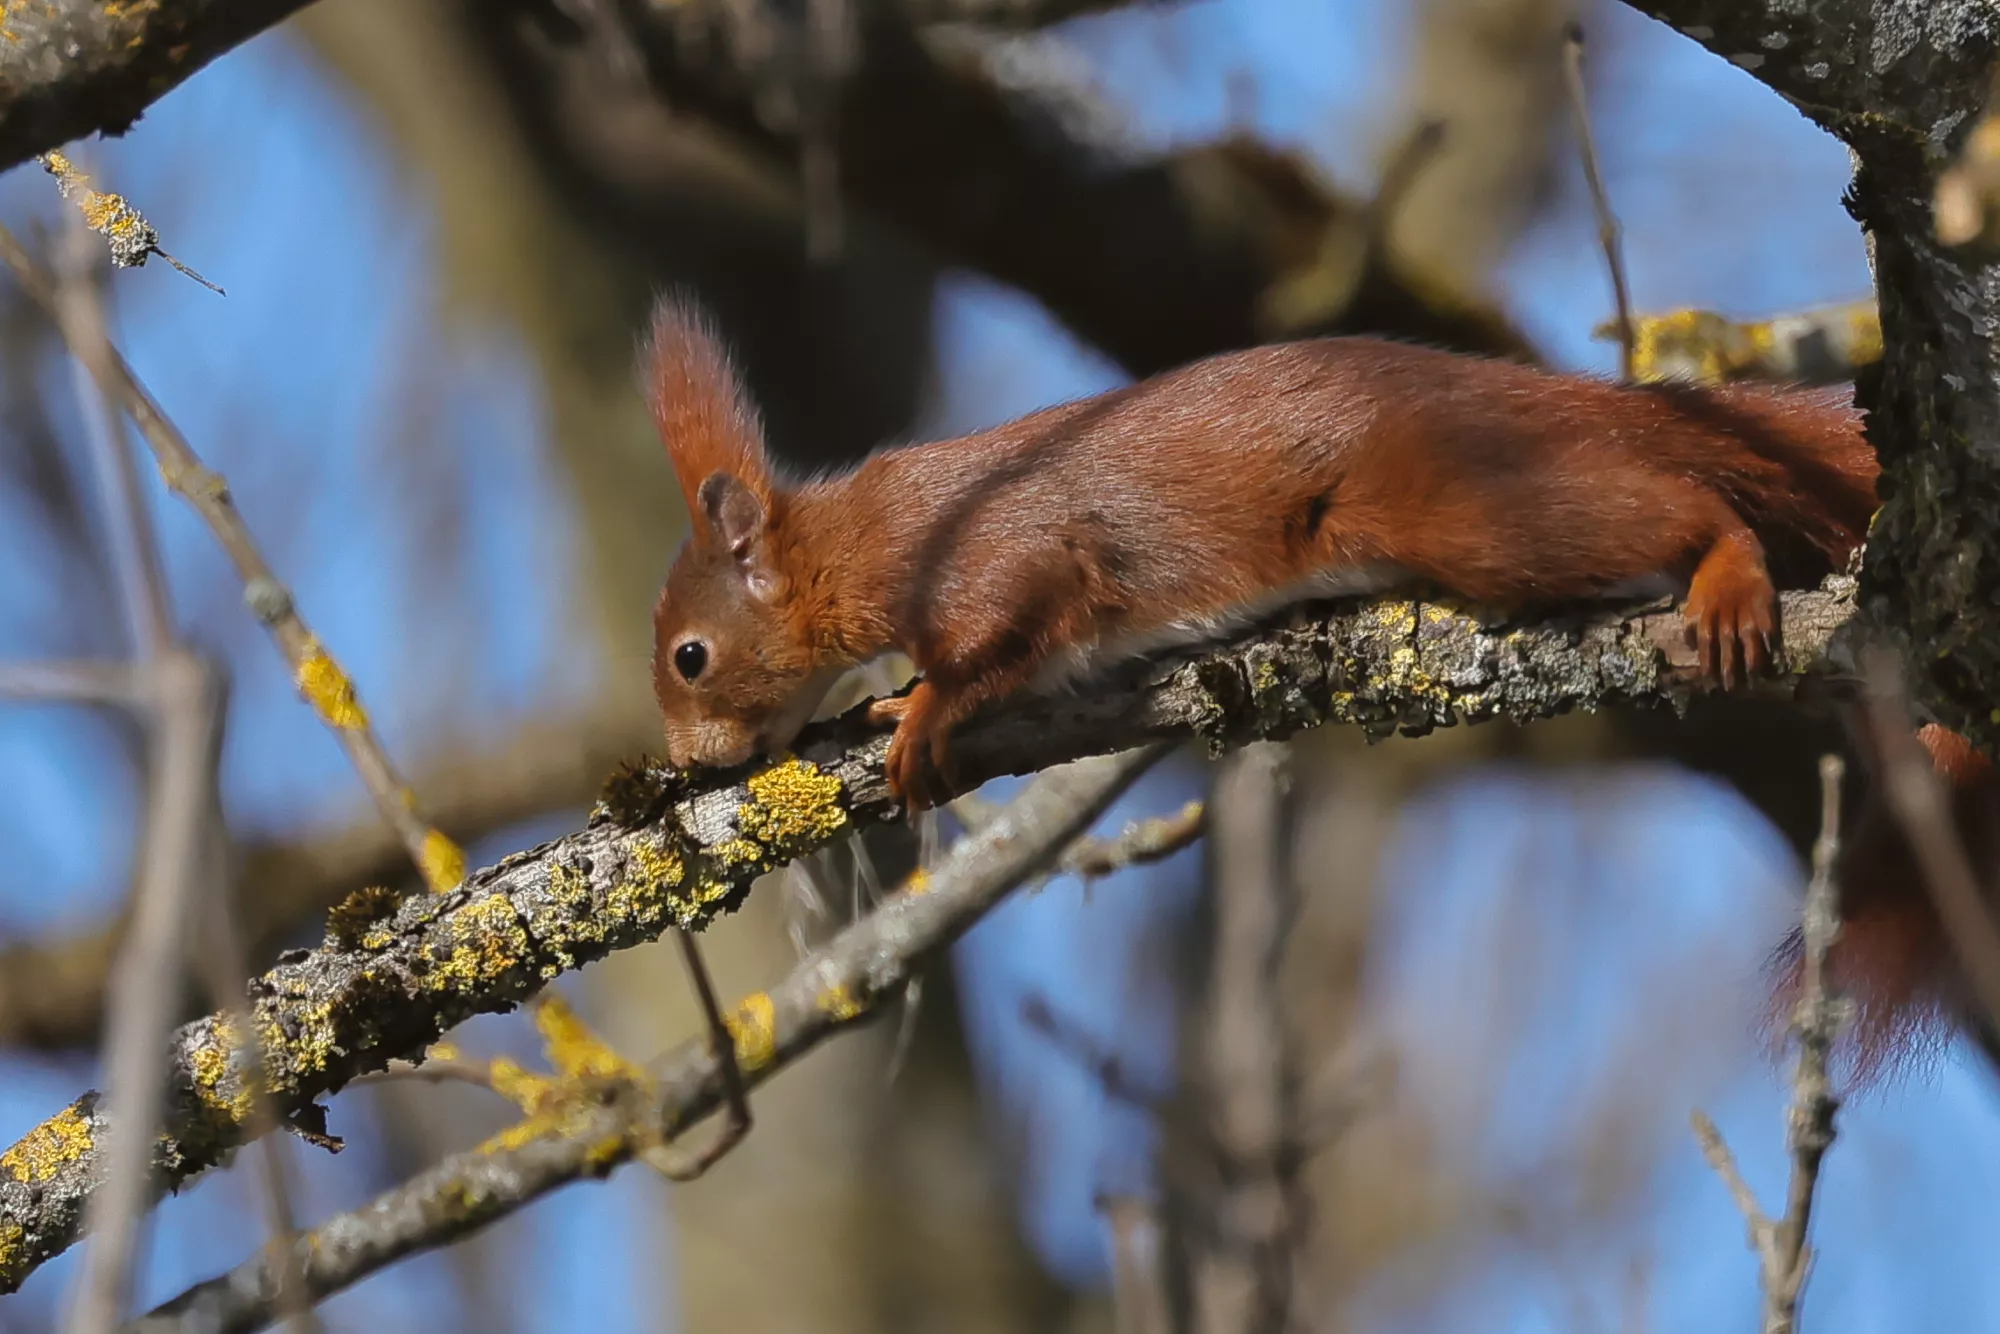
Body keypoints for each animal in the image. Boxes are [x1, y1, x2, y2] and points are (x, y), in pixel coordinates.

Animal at [641, 293, 1994, 1071]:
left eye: (689, 655)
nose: (691, 766)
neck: (858, 543)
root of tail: (1518, 392)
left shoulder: (998, 555)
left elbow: (998, 642)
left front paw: (917, 710)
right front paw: (877, 699)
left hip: (1463, 509)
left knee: (1674, 502)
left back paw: (1723, 571)